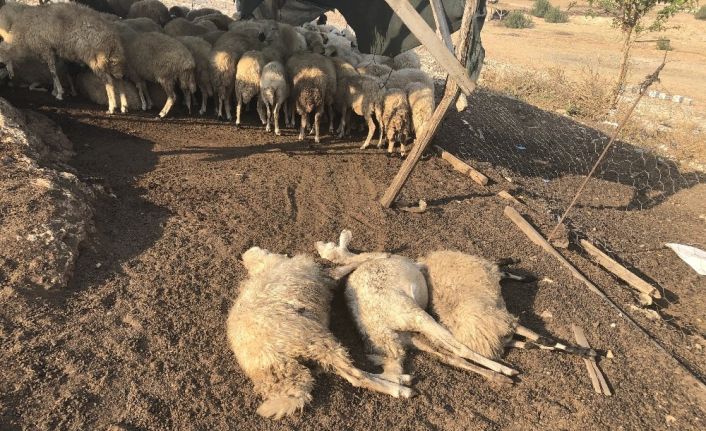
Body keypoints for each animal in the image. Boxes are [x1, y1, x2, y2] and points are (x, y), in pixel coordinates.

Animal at [226, 248, 412, 420]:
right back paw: (400, 387)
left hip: (314, 349)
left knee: (349, 375)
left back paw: (399, 380)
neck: (264, 267)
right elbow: (346, 266)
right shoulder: (325, 276)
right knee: (357, 375)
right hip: (316, 340)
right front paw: (380, 256)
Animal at [314, 231, 516, 386]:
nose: (317, 243)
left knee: (445, 355)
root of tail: (381, 332)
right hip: (416, 317)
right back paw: (506, 370)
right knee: (458, 349)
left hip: (407, 337)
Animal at [416, 251, 596, 360]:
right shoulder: (507, 327)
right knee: (499, 269)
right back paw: (524, 275)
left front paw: (587, 351)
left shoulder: (508, 323)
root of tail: (430, 257)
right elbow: (537, 344)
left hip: (481, 268)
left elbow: (542, 341)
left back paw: (519, 269)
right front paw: (586, 352)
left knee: (497, 266)